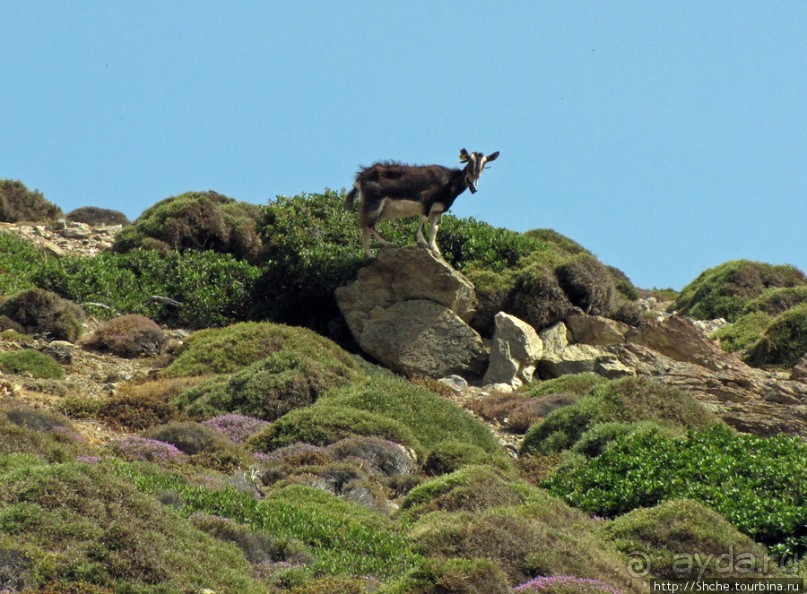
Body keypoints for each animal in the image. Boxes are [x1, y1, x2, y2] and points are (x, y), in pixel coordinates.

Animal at [342, 147, 496, 256]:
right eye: (469, 160)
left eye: (485, 162)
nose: (475, 174)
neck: (450, 181)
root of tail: (362, 176)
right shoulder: (427, 200)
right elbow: (423, 220)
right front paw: (422, 242)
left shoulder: (438, 210)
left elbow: (434, 228)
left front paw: (435, 249)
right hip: (375, 200)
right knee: (369, 225)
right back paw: (386, 244)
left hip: (380, 208)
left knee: (367, 226)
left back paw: (369, 255)